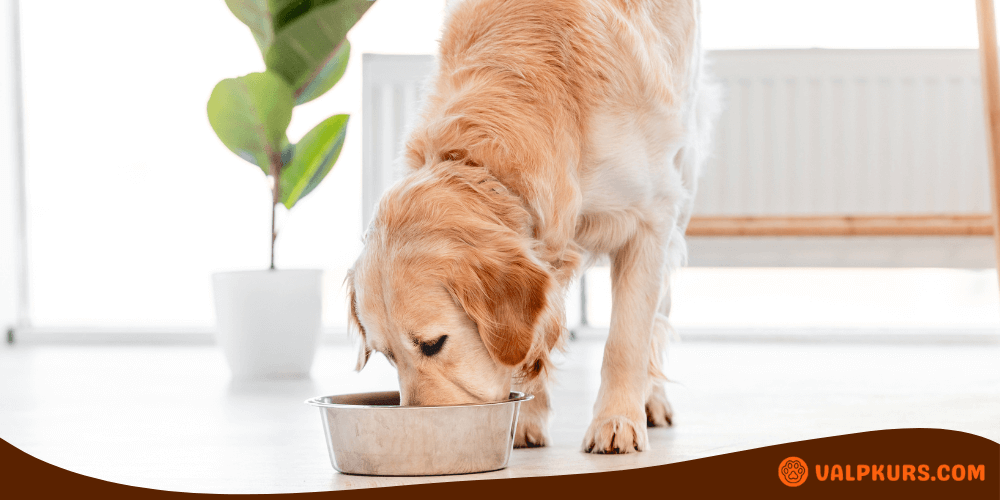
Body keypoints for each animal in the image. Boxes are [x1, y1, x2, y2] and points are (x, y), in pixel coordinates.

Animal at [348, 0, 716, 454]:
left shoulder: (651, 216)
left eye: (433, 344)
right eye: (386, 355)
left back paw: (652, 401)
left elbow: (626, 339)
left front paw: (616, 422)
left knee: (660, 308)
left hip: (683, 172)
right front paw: (524, 419)